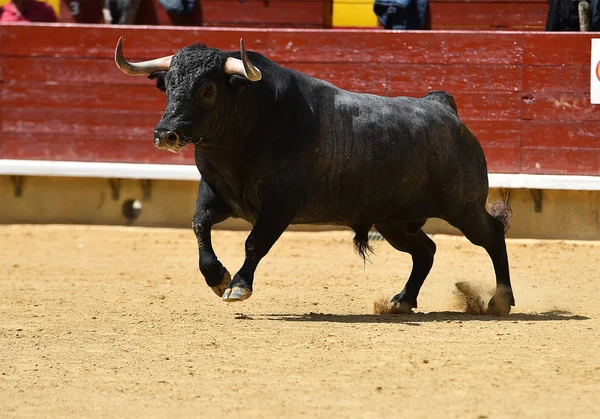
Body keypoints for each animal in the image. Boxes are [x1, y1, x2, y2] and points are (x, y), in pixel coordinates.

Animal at [115, 38, 512, 316]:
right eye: (168, 86)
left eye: (208, 89)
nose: (165, 134)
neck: (251, 125)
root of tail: (443, 107)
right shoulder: (215, 191)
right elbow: (199, 225)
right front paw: (218, 279)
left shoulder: (281, 203)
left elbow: (255, 242)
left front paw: (239, 286)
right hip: (394, 221)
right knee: (426, 251)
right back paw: (401, 301)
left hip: (462, 207)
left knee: (491, 236)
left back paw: (500, 302)